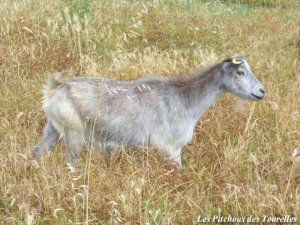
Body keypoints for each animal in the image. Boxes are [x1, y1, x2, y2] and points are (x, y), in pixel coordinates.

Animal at [32, 57, 264, 170]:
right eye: (240, 72)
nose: (261, 91)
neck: (185, 99)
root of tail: (53, 93)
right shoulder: (168, 147)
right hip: (74, 134)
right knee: (69, 163)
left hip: (52, 130)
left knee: (37, 151)